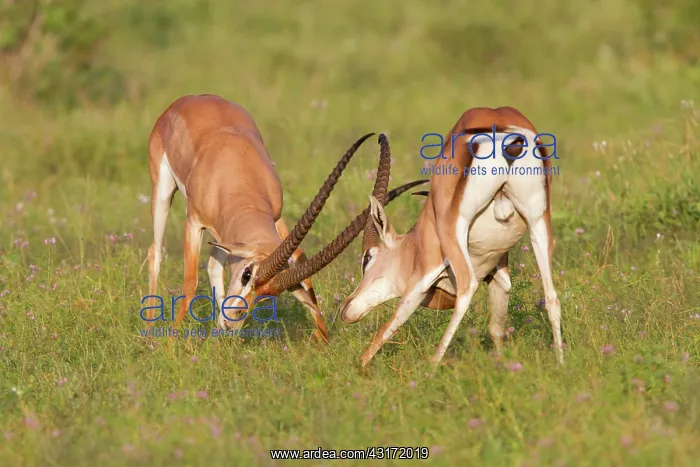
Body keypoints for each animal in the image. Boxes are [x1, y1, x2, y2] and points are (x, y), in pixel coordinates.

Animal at [145, 94, 426, 341]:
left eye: (266, 296)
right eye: (247, 274)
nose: (232, 320)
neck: (236, 178)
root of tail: (188, 100)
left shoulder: (276, 219)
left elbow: (303, 266)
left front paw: (323, 339)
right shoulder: (194, 222)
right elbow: (190, 282)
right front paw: (171, 344)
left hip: (224, 234)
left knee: (214, 265)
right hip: (163, 192)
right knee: (155, 252)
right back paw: (149, 328)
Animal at [334, 106, 564, 366]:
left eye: (367, 258)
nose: (346, 309)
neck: (415, 244)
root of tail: (505, 135)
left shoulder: (423, 274)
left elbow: (389, 325)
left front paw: (359, 367)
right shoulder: (499, 273)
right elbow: (496, 327)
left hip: (456, 230)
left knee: (467, 288)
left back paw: (432, 366)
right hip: (538, 222)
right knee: (552, 297)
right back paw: (561, 364)